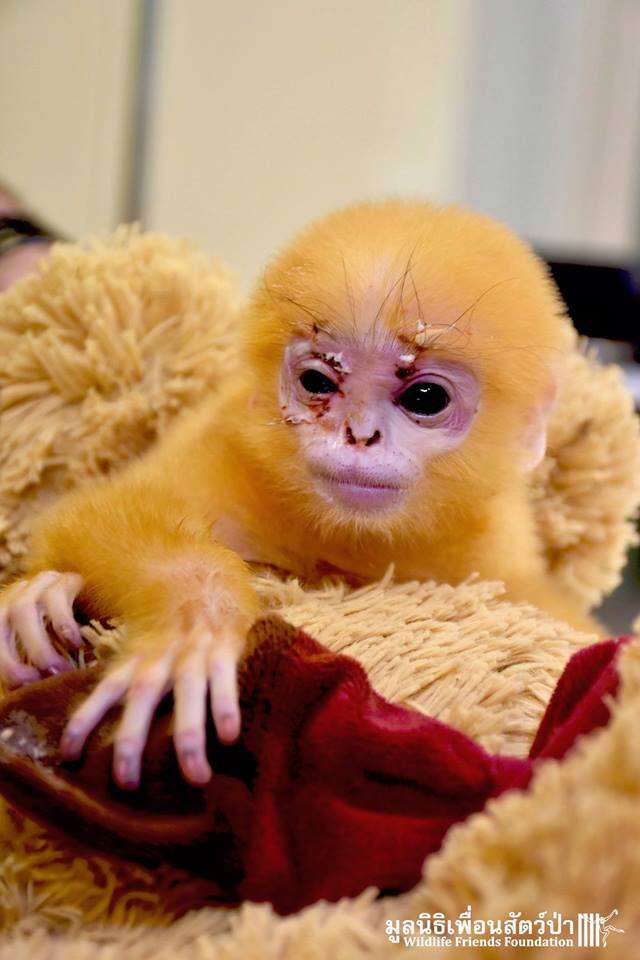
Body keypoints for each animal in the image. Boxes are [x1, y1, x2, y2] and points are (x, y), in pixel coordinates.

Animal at [0, 200, 600, 791]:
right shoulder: (223, 447)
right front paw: (195, 626)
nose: (360, 434)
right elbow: (95, 514)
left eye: (425, 397)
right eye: (317, 383)